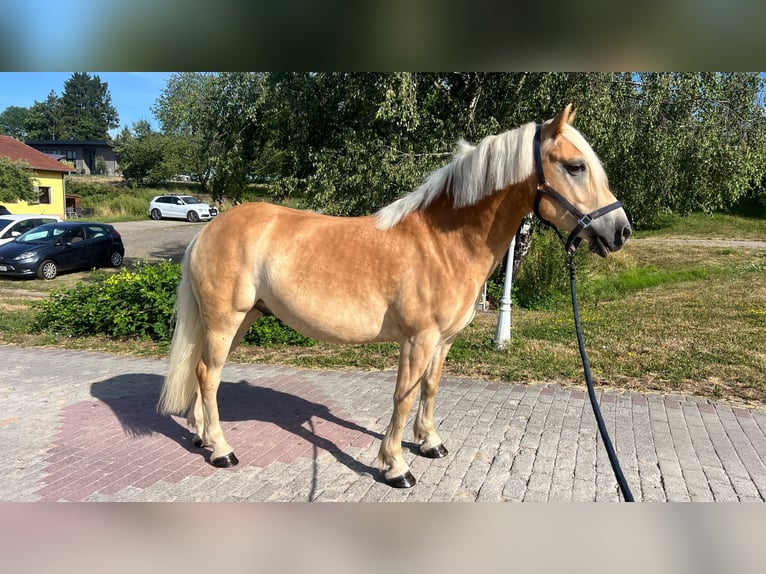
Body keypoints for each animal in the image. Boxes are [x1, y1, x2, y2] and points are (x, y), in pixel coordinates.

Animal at [157, 104, 632, 488]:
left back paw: (201, 435)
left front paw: (430, 443)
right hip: (225, 319)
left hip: (240, 320)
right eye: (575, 166)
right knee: (208, 375)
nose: (620, 231)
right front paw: (396, 466)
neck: (445, 242)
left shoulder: (443, 341)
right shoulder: (418, 340)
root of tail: (207, 228)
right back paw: (221, 450)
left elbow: (430, 389)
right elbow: (403, 397)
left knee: (204, 373)